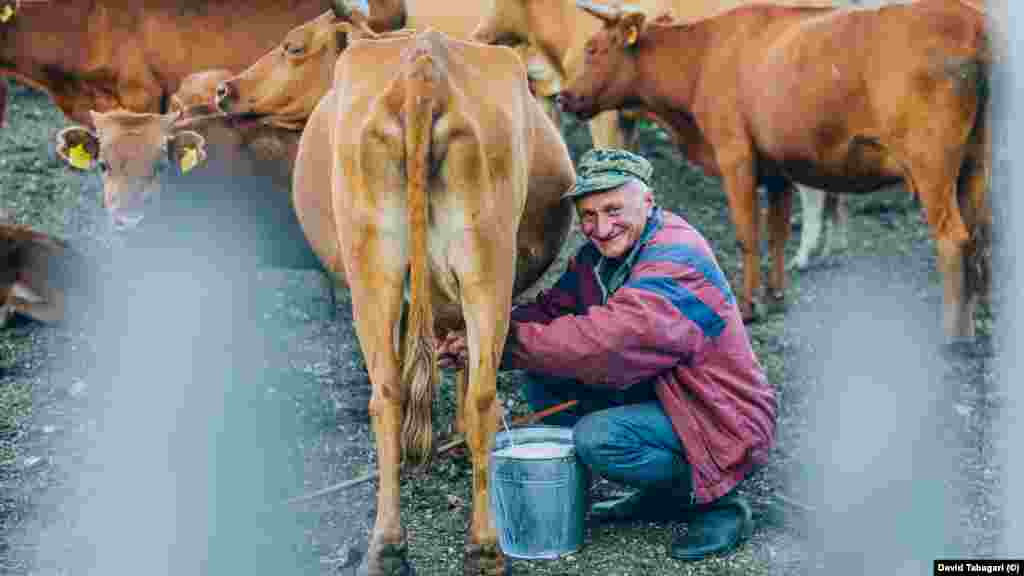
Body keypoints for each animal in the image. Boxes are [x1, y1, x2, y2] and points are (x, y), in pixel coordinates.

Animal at [299, 3, 581, 569]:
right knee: (458, 394)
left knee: (407, 393)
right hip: (472, 267)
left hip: (389, 269)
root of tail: (423, 61)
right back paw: (448, 546)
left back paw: (422, 545)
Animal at [557, 0, 987, 338]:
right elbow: (778, 233)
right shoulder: (779, 170)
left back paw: (953, 333)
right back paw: (974, 321)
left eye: (593, 48)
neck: (703, 58)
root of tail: (970, 22)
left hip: (931, 166)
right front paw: (777, 297)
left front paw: (749, 306)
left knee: (954, 239)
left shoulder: (735, 158)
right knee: (979, 234)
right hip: (974, 165)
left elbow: (748, 235)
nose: (563, 97)